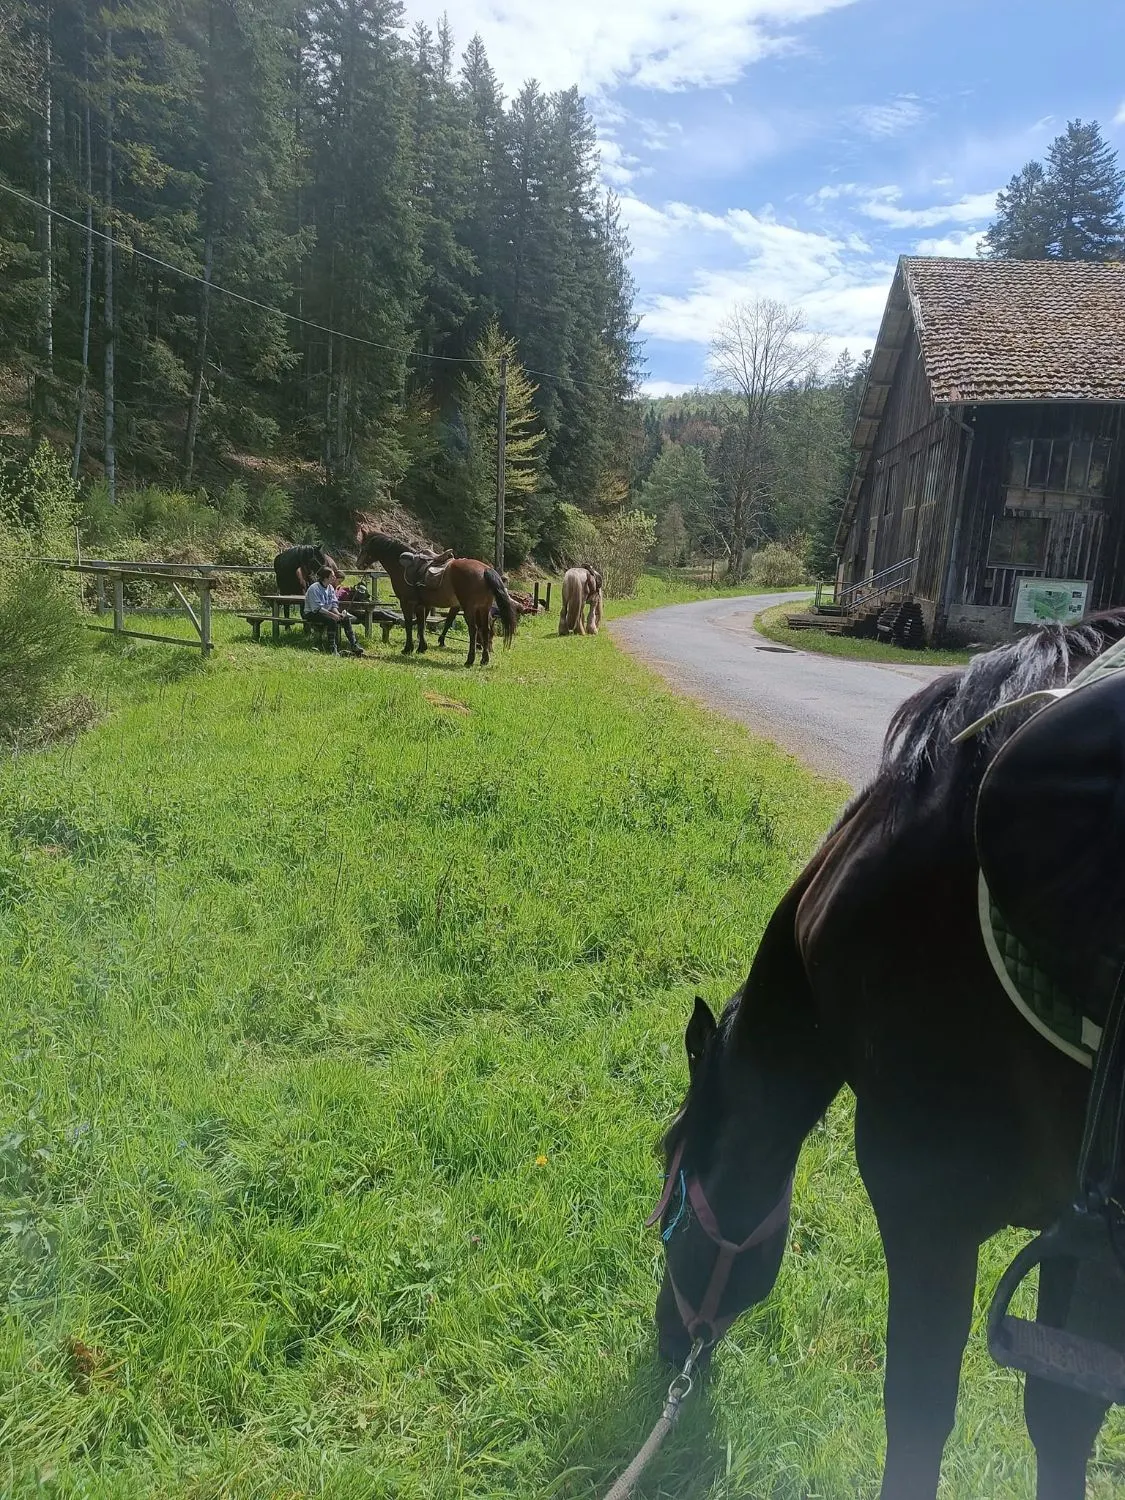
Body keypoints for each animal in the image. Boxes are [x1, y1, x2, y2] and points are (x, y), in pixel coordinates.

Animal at [354, 530, 518, 667]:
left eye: (364, 547)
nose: (358, 564)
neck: (402, 565)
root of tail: (485, 570)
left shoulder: (407, 602)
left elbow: (409, 624)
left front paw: (408, 648)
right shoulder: (422, 605)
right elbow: (421, 624)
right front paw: (421, 648)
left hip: (469, 608)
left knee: (474, 630)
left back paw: (470, 660)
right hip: (483, 609)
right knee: (485, 630)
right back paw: (484, 659)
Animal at [651, 608, 1125, 1500]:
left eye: (666, 1206)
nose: (668, 1340)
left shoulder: (923, 1202)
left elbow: (916, 1413)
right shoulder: (1080, 1224)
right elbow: (1060, 1416)